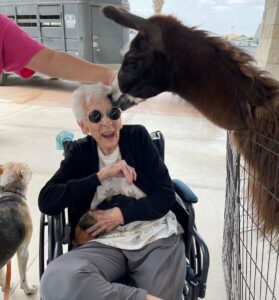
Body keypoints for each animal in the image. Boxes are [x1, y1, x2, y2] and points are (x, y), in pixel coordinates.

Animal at [0, 163, 37, 294]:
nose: (32, 170)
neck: (10, 190)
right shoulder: (23, 250)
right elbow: (23, 277)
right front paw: (28, 290)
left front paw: (4, 285)